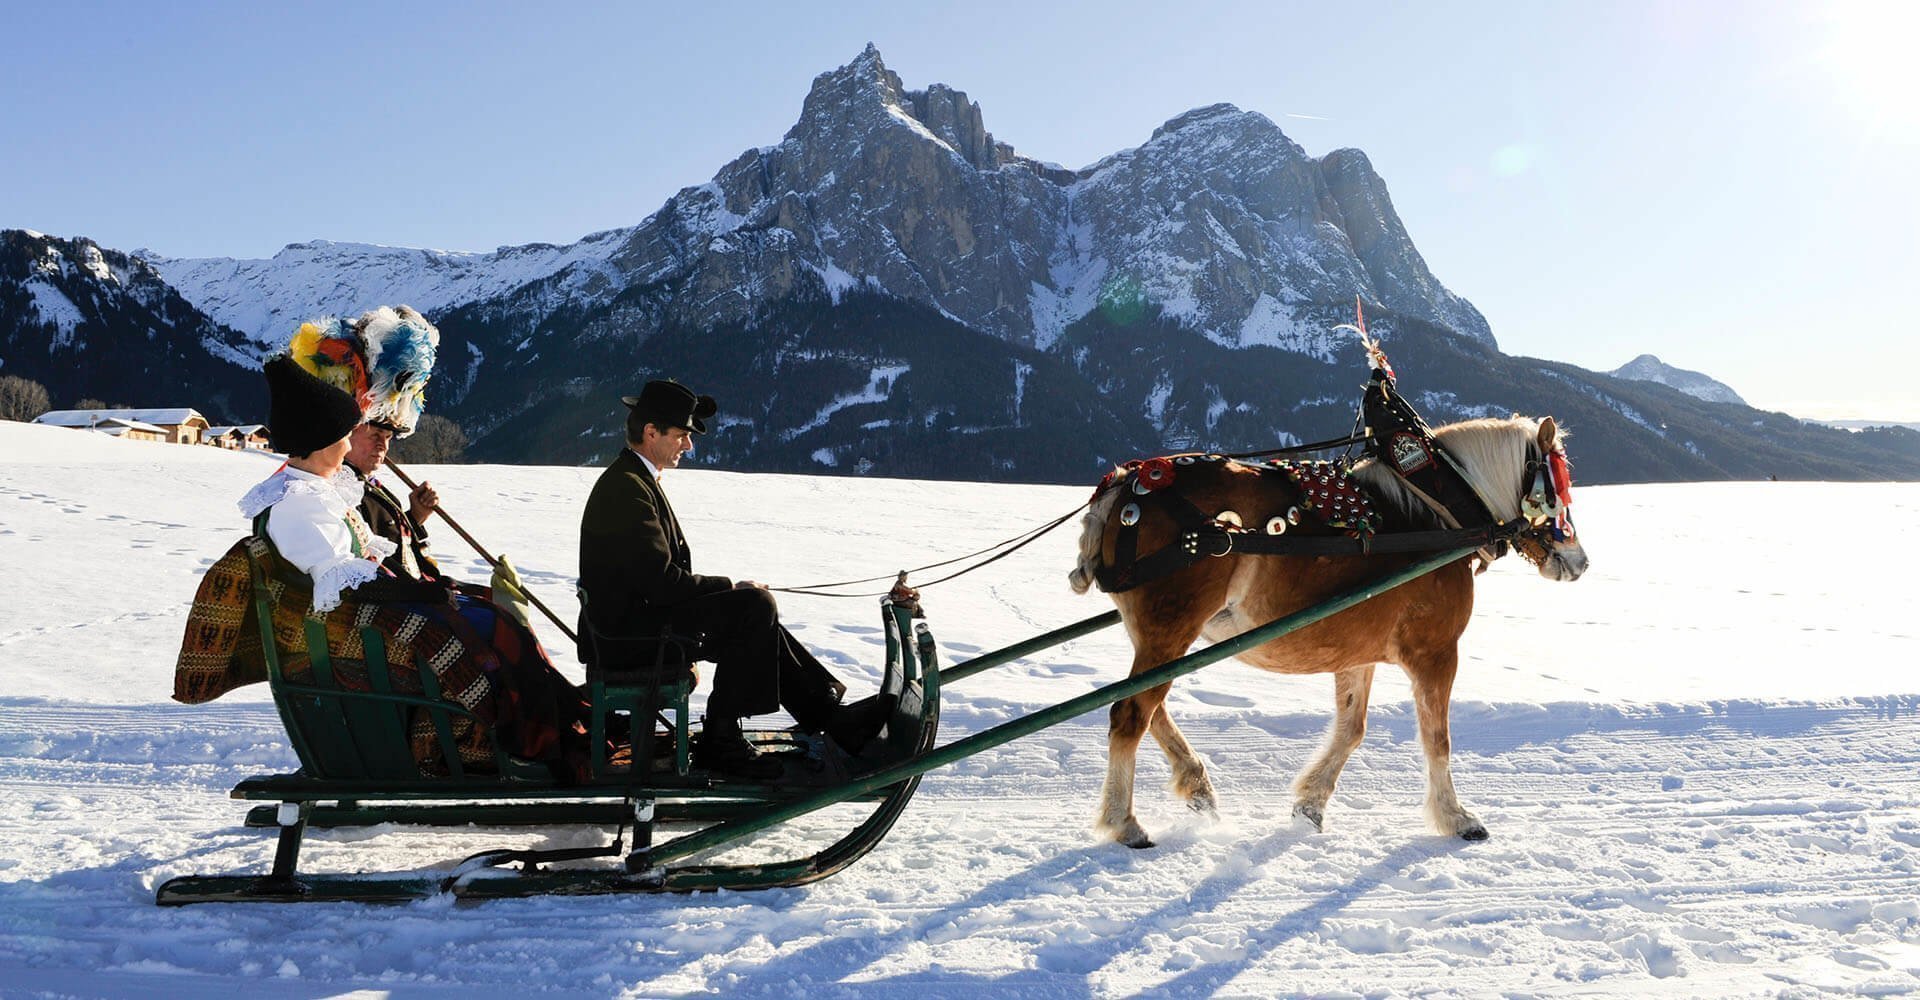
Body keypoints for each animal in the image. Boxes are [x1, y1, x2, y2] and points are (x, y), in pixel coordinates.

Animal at [1067, 410, 1589, 840]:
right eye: (1555, 490)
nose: (1579, 561)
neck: (1438, 514)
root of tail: (1125, 484)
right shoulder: (1436, 652)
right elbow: (1436, 739)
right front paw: (1456, 817)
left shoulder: (1356, 652)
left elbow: (1352, 729)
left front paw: (1310, 804)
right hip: (1170, 629)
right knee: (1130, 714)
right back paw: (1124, 821)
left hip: (1160, 636)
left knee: (1148, 708)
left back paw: (1196, 785)